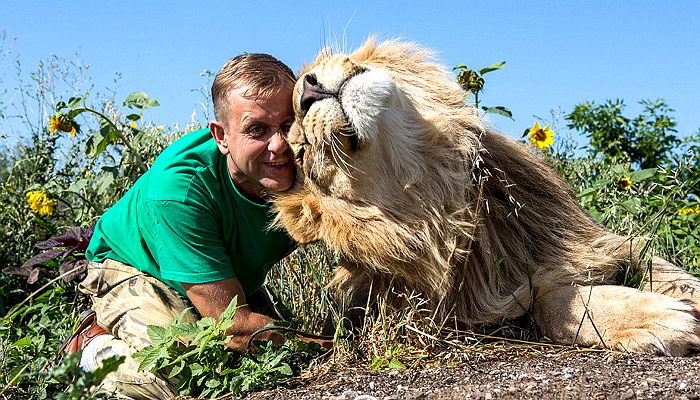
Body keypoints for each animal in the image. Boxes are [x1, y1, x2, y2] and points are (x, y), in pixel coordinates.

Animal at [274, 38, 700, 356]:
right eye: (303, 155)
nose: (307, 91)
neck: (441, 186)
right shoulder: (476, 313)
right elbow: (549, 304)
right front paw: (658, 318)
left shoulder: (598, 243)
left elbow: (669, 273)